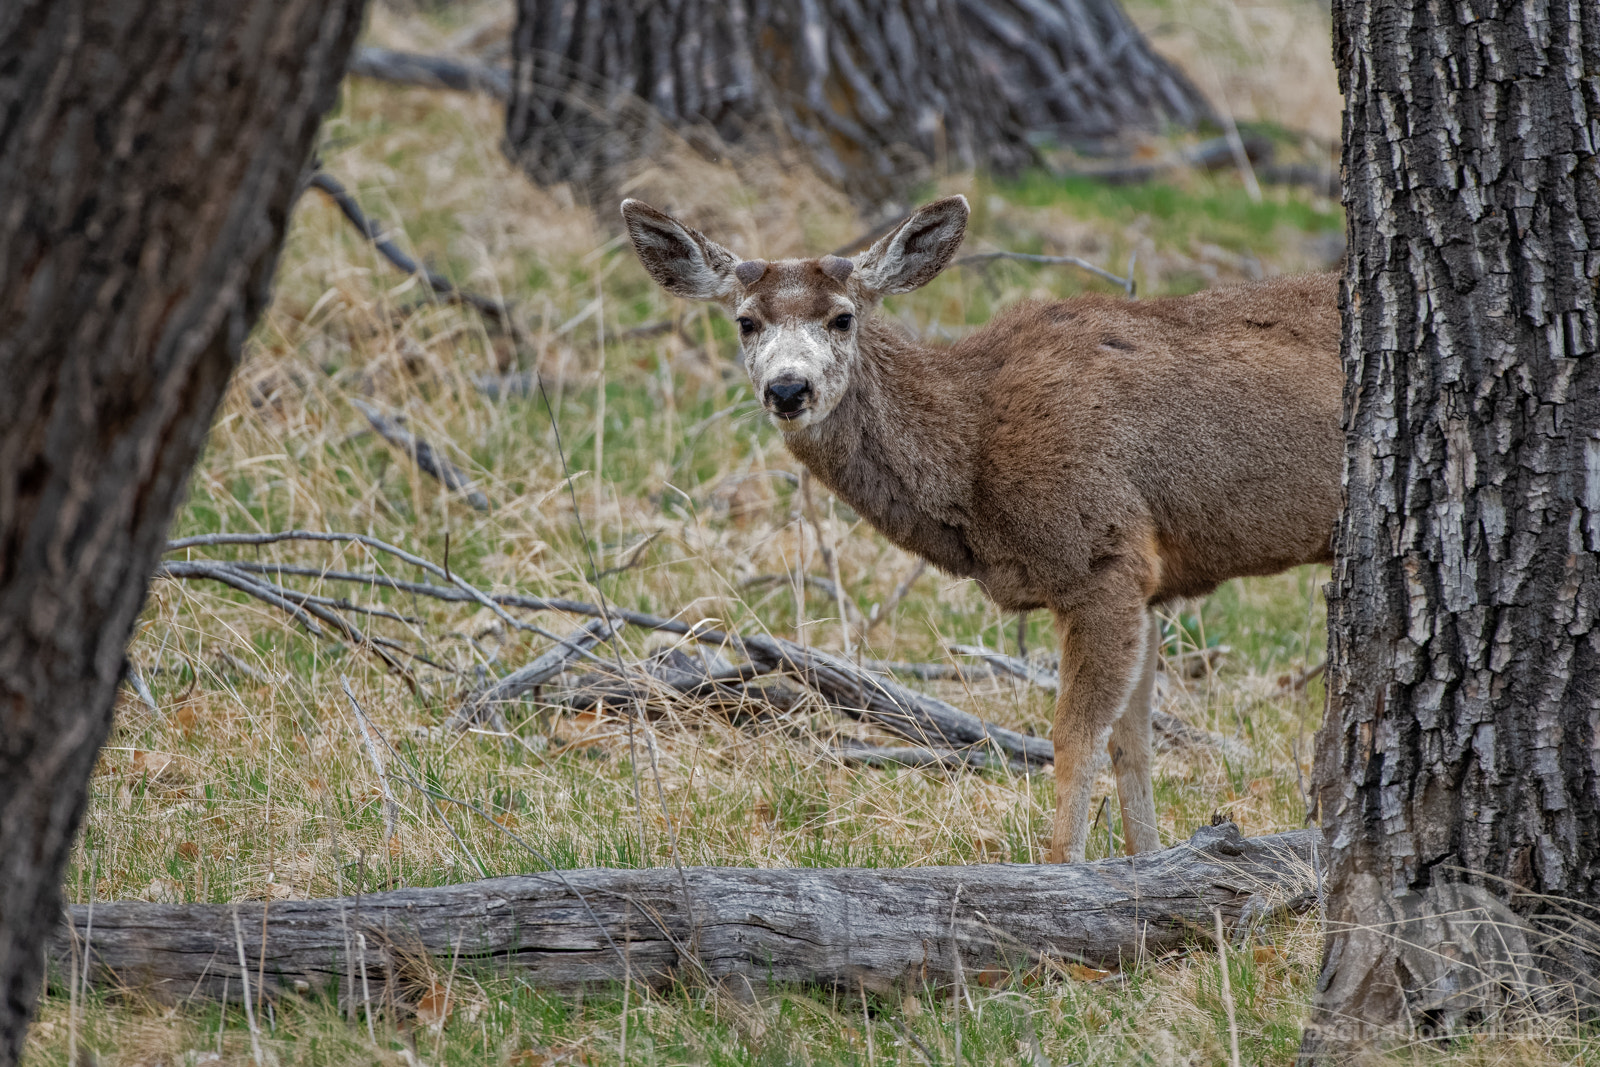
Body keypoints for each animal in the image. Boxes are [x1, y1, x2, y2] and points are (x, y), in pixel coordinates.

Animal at [617, 195, 1344, 863]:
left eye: (842, 317)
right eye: (746, 321)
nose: (788, 389)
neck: (975, 450)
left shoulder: (1102, 554)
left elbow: (1073, 740)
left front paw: (1065, 873)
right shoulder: (1150, 579)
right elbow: (1131, 743)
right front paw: (1147, 865)